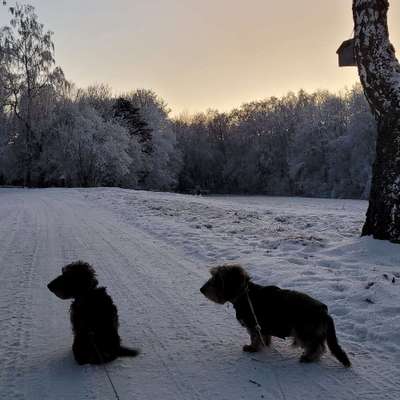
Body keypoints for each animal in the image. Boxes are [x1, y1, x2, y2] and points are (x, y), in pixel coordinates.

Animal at [200, 264, 350, 368]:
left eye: (216, 279)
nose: (202, 289)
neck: (244, 294)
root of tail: (323, 310)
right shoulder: (261, 327)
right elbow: (264, 337)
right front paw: (264, 344)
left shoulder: (253, 325)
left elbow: (255, 338)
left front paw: (252, 348)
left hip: (304, 332)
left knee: (317, 347)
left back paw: (308, 357)